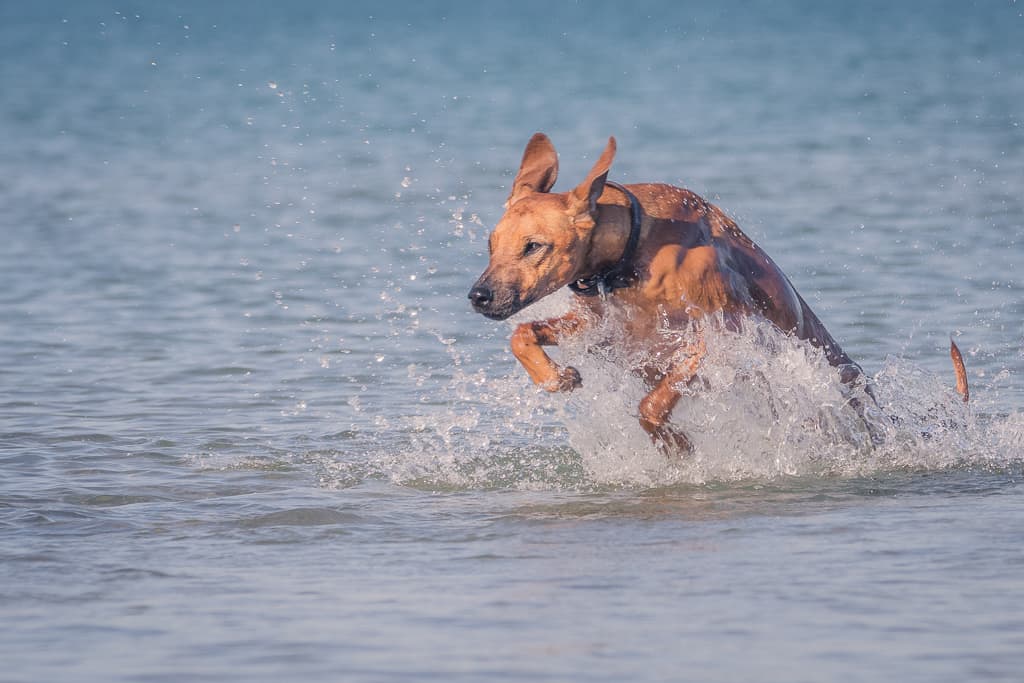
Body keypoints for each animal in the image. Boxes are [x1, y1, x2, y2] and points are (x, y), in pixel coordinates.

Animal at [468, 133, 962, 454]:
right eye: (492, 245)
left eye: (534, 246)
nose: (478, 295)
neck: (632, 255)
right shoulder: (600, 326)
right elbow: (522, 335)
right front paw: (557, 377)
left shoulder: (715, 338)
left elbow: (651, 404)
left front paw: (675, 443)